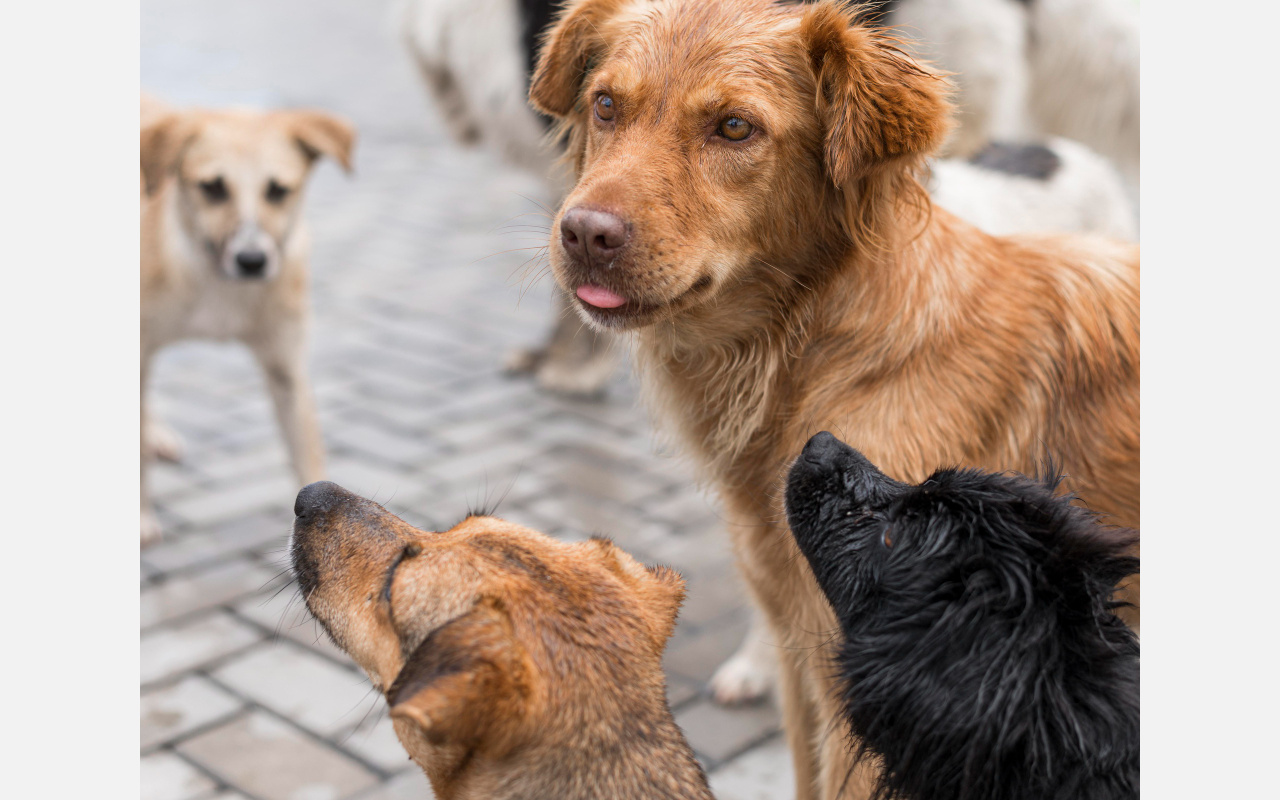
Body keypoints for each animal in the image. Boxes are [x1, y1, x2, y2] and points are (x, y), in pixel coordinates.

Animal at [140, 95, 355, 542]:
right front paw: (139, 516)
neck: (217, 282)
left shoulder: (286, 368)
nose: (252, 260)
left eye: (278, 190)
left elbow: (308, 454)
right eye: (212, 187)